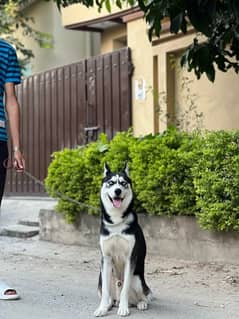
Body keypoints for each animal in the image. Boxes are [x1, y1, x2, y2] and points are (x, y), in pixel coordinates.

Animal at [93, 164, 151, 318]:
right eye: (111, 183)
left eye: (123, 183)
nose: (117, 191)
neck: (117, 222)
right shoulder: (106, 258)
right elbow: (105, 291)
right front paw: (102, 308)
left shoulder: (131, 258)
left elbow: (125, 289)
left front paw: (123, 309)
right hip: (102, 278)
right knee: (109, 295)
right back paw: (109, 304)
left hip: (137, 280)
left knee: (143, 296)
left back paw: (139, 304)